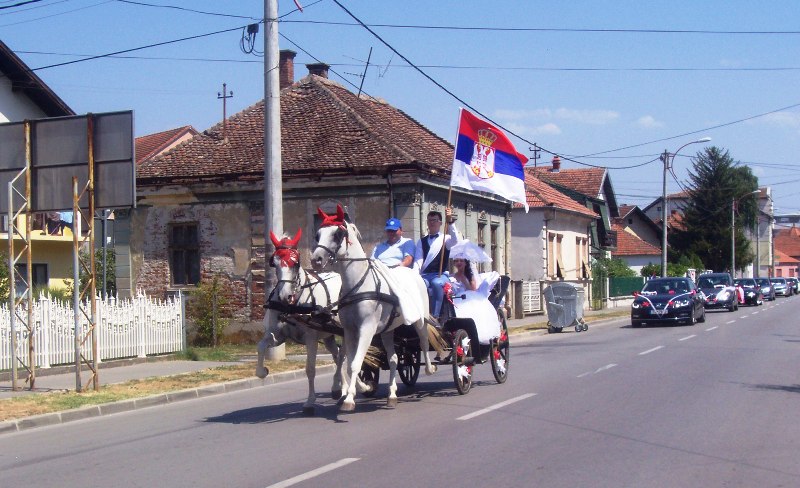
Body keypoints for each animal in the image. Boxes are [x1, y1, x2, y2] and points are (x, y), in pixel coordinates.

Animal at [256, 230, 350, 416]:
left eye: (296, 262)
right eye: (273, 263)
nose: (284, 296)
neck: (292, 306)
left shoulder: (311, 338)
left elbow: (310, 369)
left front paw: (309, 402)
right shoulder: (277, 336)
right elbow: (261, 346)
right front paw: (262, 371)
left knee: (343, 355)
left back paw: (341, 388)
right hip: (327, 335)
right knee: (337, 356)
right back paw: (341, 388)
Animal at [312, 203, 438, 412]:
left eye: (338, 233)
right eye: (318, 234)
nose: (316, 259)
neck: (359, 285)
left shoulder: (367, 328)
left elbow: (355, 363)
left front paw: (349, 399)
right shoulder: (349, 330)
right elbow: (349, 362)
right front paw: (361, 387)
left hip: (420, 320)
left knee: (424, 342)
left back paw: (429, 368)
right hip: (388, 330)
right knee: (394, 358)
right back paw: (392, 394)